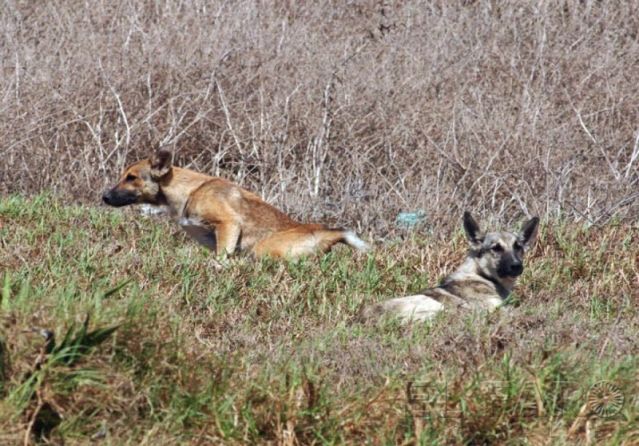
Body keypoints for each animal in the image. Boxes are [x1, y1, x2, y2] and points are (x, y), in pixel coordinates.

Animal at [102, 150, 368, 258]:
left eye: (131, 177)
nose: (104, 197)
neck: (189, 191)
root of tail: (324, 232)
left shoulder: (229, 224)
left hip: (263, 249)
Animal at [362, 213, 536, 324]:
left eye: (518, 247)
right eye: (496, 248)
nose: (517, 266)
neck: (482, 275)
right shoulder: (496, 309)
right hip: (437, 307)